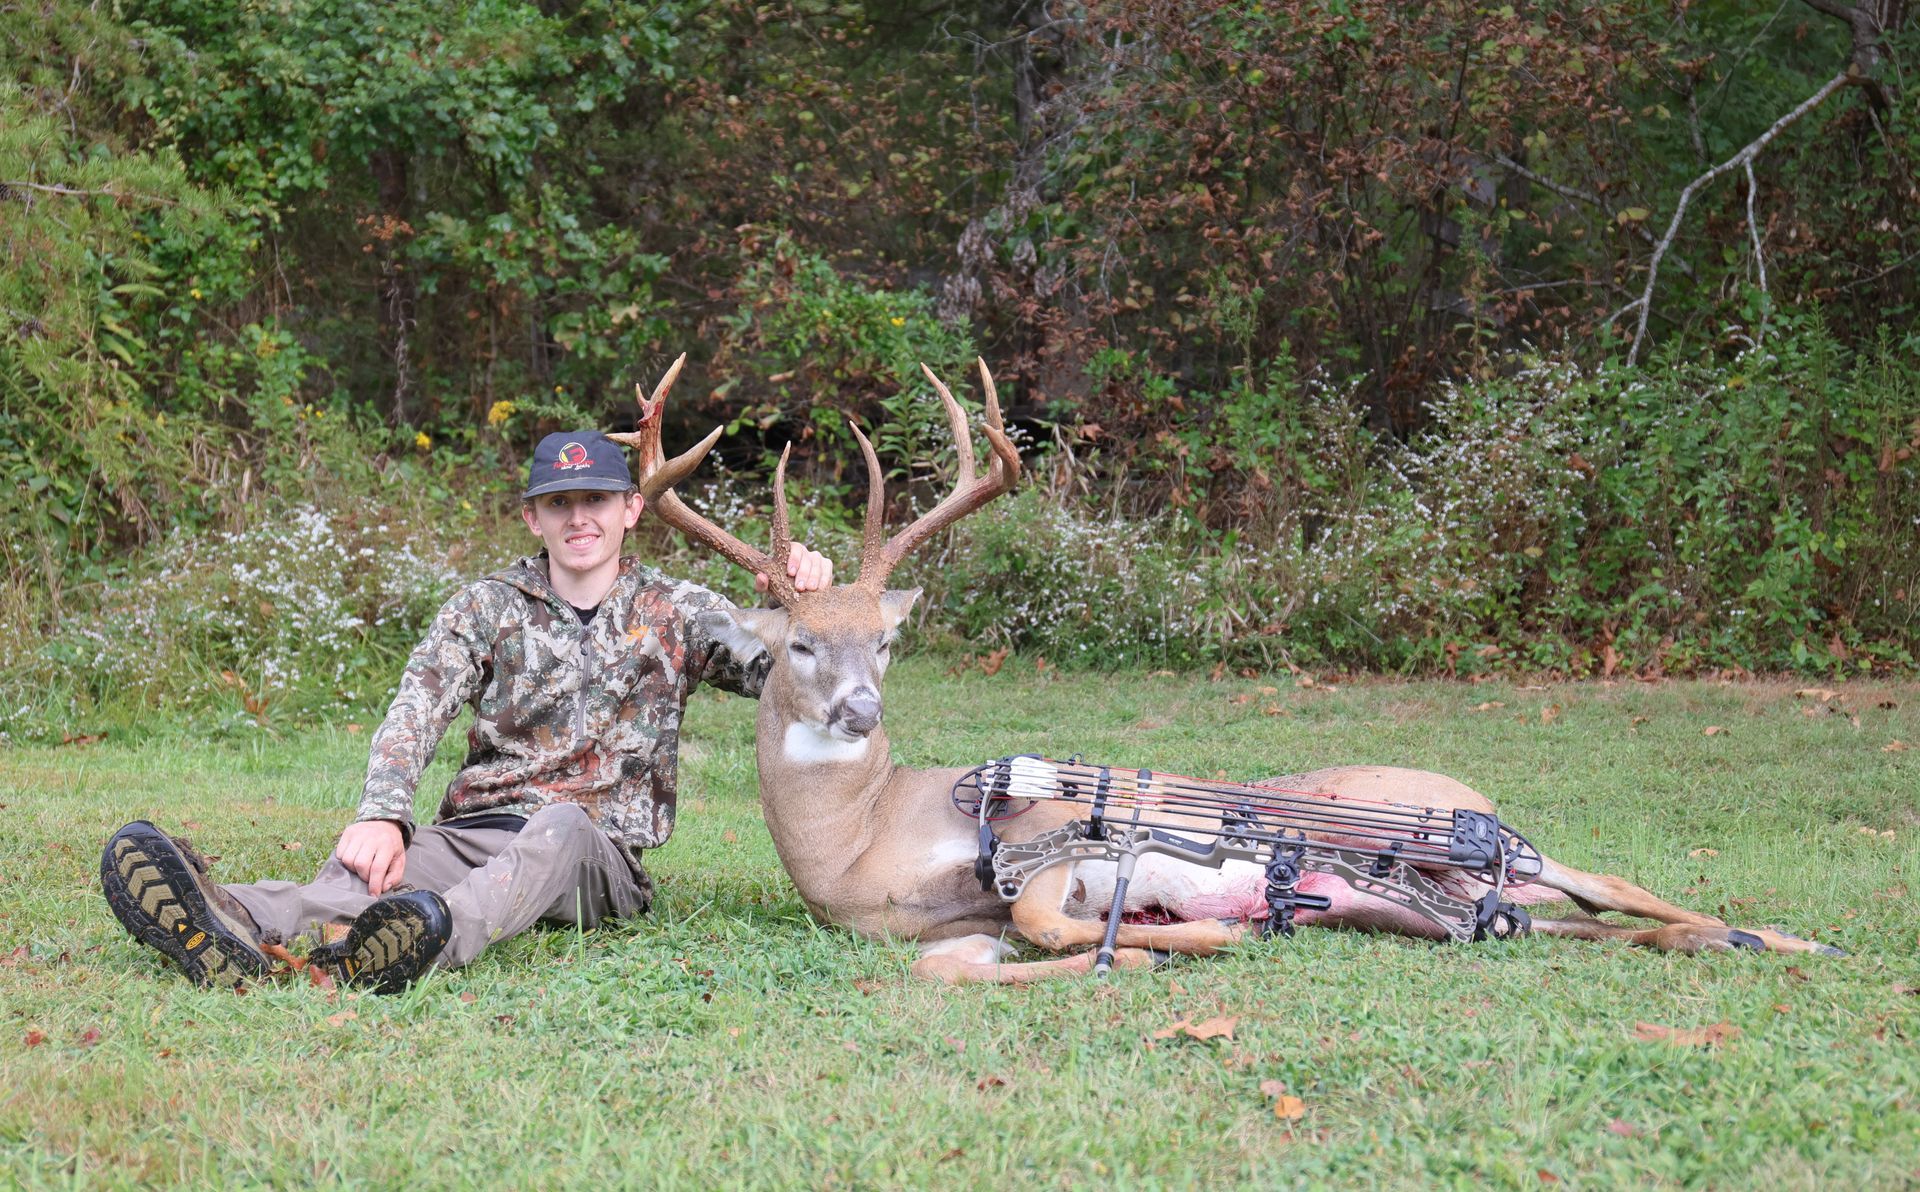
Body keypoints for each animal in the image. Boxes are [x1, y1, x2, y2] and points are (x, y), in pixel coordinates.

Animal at [613, 357, 1840, 984]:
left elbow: (1059, 916)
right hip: (1464, 901)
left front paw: (1203, 931)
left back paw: (1796, 933)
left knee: (1615, 880)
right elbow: (963, 962)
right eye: (798, 644)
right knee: (1573, 921)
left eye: (887, 640)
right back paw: (1741, 936)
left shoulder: (1048, 839)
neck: (860, 845)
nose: (863, 708)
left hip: (1448, 828)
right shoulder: (935, 932)